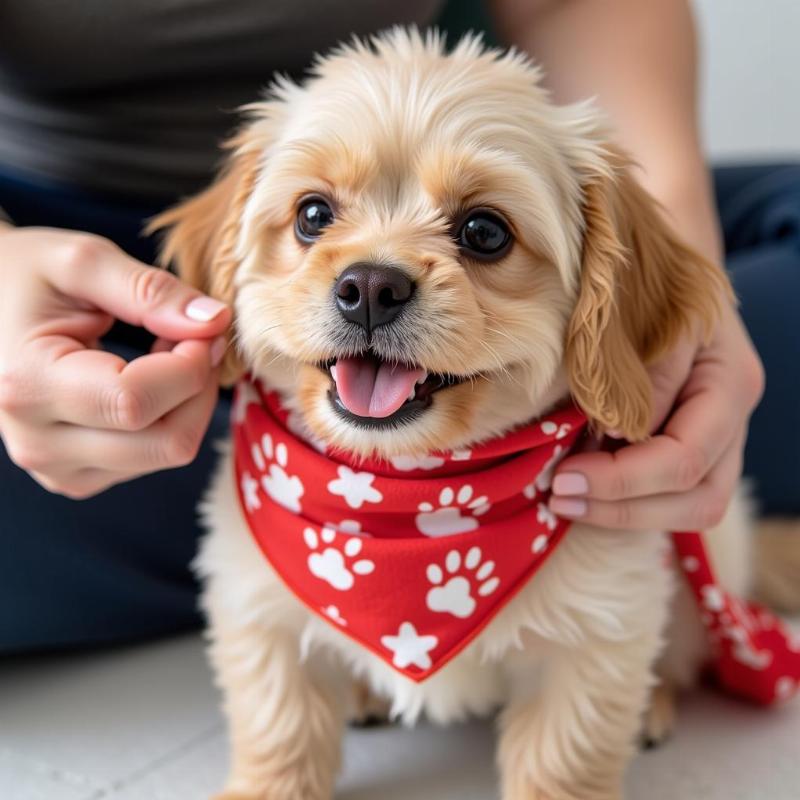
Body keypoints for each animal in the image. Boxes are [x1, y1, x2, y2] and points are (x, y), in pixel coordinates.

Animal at [150, 26, 800, 800]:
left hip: (713, 544)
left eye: (484, 232)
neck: (414, 504)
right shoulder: (257, 609)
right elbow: (281, 727)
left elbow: (564, 761)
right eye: (312, 215)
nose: (369, 286)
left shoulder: (599, 631)